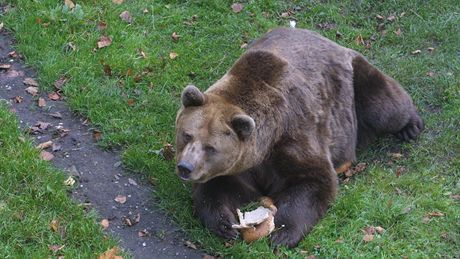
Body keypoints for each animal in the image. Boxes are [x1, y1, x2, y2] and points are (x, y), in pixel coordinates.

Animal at [174, 27, 422, 249]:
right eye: (187, 135)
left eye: (211, 147)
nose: (185, 167)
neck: (266, 142)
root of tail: (328, 39)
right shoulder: (240, 166)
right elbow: (217, 189)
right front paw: (226, 225)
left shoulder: (294, 134)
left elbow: (313, 180)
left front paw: (282, 234)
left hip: (355, 83)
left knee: (384, 105)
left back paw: (411, 125)